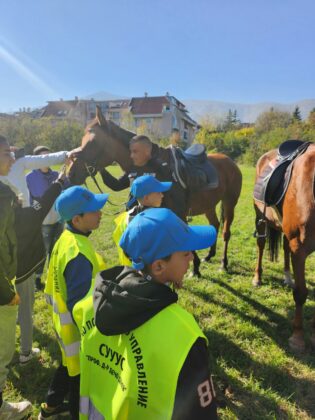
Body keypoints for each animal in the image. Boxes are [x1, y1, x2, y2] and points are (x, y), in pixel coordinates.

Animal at [68, 106, 242, 272]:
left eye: (93, 142)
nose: (70, 173)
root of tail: (230, 162)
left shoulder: (180, 213)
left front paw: (195, 268)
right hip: (209, 206)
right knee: (215, 225)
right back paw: (209, 255)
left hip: (229, 203)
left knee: (226, 232)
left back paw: (223, 264)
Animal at [254, 145, 315, 352]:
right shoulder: (300, 248)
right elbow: (300, 293)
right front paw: (297, 337)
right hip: (261, 218)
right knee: (261, 246)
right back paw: (257, 277)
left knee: (287, 248)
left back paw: (288, 277)